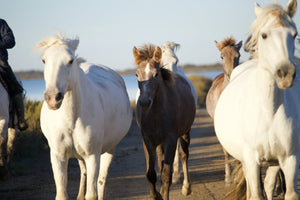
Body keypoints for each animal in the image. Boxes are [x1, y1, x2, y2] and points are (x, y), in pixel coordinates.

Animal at [36, 34, 132, 200]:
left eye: (70, 60)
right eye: (44, 60)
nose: (53, 98)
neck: (70, 120)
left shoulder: (92, 155)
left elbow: (92, 193)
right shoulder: (58, 156)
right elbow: (62, 193)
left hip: (109, 150)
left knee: (101, 180)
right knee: (84, 172)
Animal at [133, 44, 195, 200]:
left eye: (156, 74)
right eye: (136, 74)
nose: (144, 102)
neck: (155, 114)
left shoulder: (170, 140)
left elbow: (167, 174)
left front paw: (164, 194)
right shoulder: (147, 140)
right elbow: (151, 173)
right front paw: (156, 195)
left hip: (185, 132)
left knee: (184, 155)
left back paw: (186, 188)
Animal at [214, 0, 298, 199]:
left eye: (294, 34)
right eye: (264, 35)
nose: (286, 74)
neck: (269, 110)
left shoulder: (289, 159)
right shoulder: (252, 160)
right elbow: (255, 194)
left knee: (269, 183)